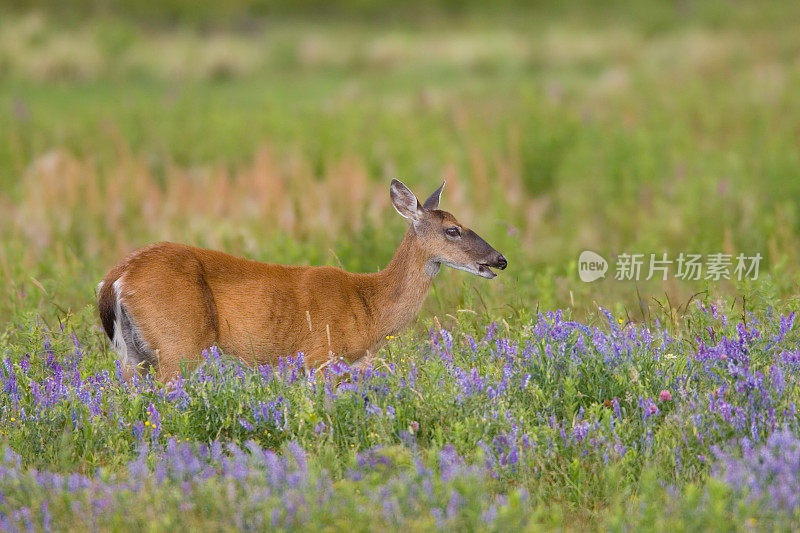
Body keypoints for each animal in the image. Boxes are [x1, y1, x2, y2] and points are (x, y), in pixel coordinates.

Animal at [95, 179, 506, 378]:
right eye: (453, 230)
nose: (499, 259)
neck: (370, 305)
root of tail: (117, 278)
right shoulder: (319, 357)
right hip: (178, 346)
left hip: (133, 356)